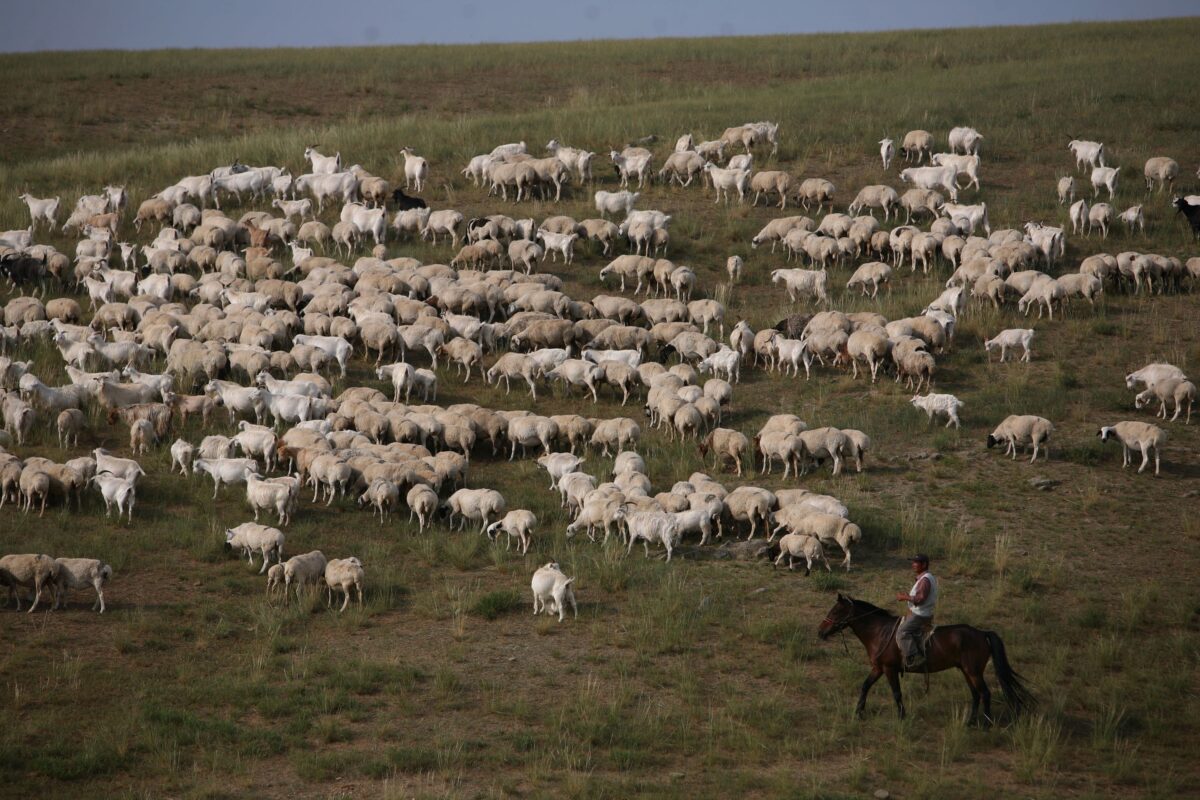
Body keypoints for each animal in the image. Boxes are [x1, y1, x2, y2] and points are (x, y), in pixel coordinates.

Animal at [820, 594, 1036, 724]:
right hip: (967, 671)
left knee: (985, 693)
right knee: (976, 694)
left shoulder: (889, 669)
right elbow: (865, 686)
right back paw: (970, 722)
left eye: (835, 611)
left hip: (973, 672)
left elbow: (896, 693)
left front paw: (902, 717)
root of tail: (982, 633)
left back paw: (986, 724)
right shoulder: (879, 668)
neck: (880, 631)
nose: (820, 631)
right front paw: (858, 712)